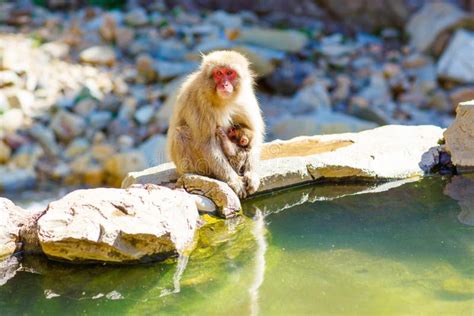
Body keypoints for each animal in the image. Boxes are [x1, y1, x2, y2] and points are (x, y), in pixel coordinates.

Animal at [167, 50, 264, 198]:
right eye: (219, 73)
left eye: (229, 73)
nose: (224, 84)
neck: (223, 100)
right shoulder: (199, 102)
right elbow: (207, 143)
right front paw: (234, 181)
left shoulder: (246, 99)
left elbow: (254, 135)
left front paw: (252, 175)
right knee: (181, 133)